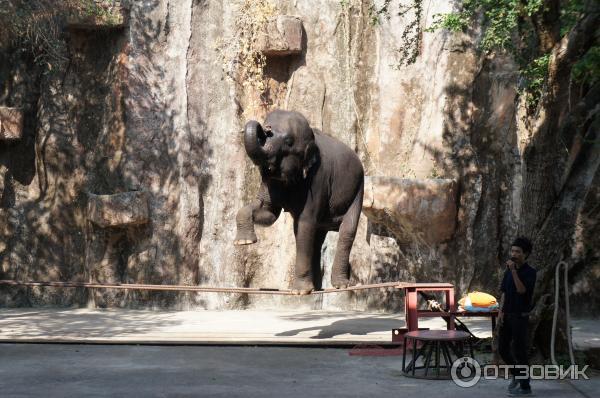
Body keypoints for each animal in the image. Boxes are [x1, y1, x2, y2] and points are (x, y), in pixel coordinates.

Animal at [236, 110, 366, 294]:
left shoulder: (318, 178)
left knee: (346, 231)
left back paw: (340, 286)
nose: (265, 128)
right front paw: (244, 242)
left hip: (358, 189)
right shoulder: (270, 181)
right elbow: (268, 214)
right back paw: (317, 289)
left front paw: (299, 292)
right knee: (317, 238)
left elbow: (305, 223)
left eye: (288, 142)